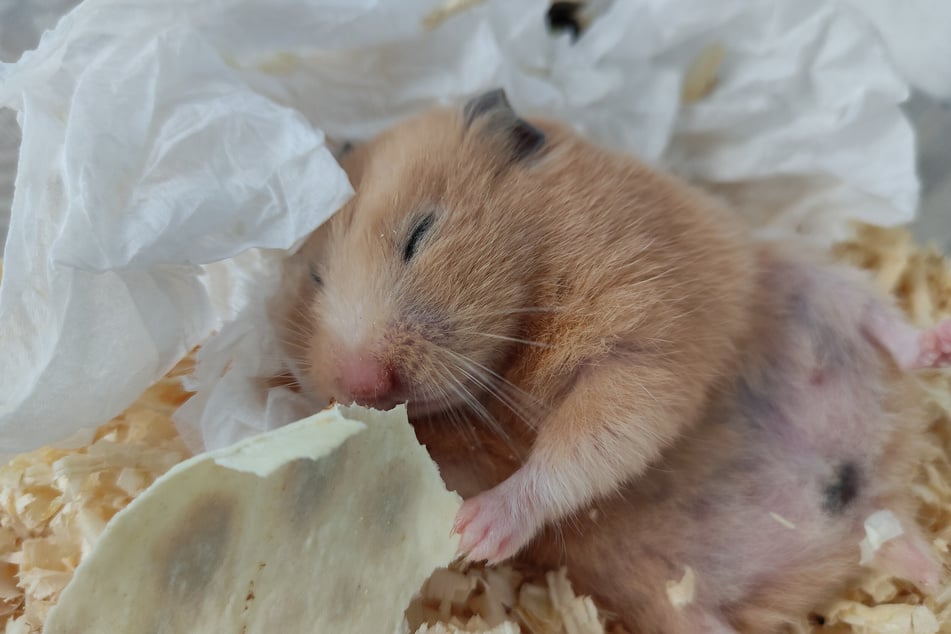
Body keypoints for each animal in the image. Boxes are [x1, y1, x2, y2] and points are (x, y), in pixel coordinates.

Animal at [273, 88, 760, 563]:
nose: (365, 383)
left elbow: (588, 443)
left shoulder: (647, 336)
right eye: (316, 278)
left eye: (420, 233)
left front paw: (470, 534)